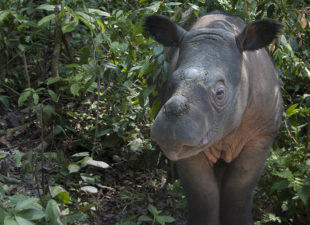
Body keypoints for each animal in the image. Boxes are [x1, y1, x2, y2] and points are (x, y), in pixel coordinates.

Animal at [145, 11, 284, 225]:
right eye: (170, 85)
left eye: (220, 93)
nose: (170, 132)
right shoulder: (191, 142)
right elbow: (203, 193)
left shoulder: (263, 132)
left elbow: (239, 189)